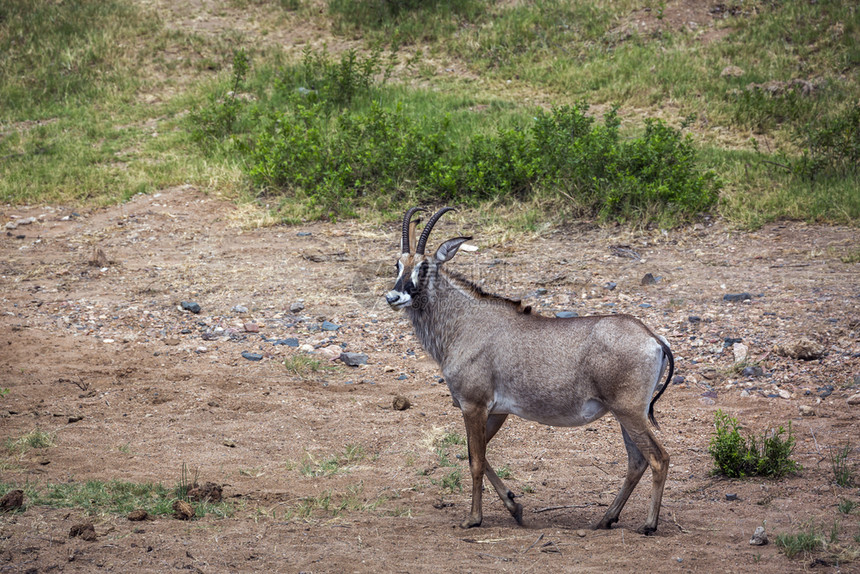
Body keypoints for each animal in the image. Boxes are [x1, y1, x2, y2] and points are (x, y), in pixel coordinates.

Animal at [386, 207, 676, 536]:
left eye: (424, 267)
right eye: (398, 264)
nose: (393, 297)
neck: (464, 323)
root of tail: (654, 338)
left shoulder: (474, 405)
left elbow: (475, 460)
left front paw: (474, 518)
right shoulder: (497, 411)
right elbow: (481, 454)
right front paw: (515, 507)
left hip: (629, 412)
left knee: (658, 458)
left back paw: (649, 524)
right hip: (625, 414)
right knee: (637, 461)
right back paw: (605, 519)